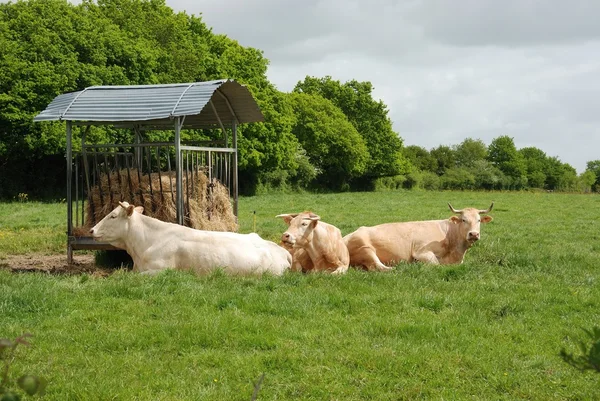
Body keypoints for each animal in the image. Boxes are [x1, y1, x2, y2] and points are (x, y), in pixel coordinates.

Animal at [342, 202, 492, 270]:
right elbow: (436, 264)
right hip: (366, 249)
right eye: (463, 220)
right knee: (379, 267)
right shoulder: (421, 252)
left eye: (479, 220)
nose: (474, 234)